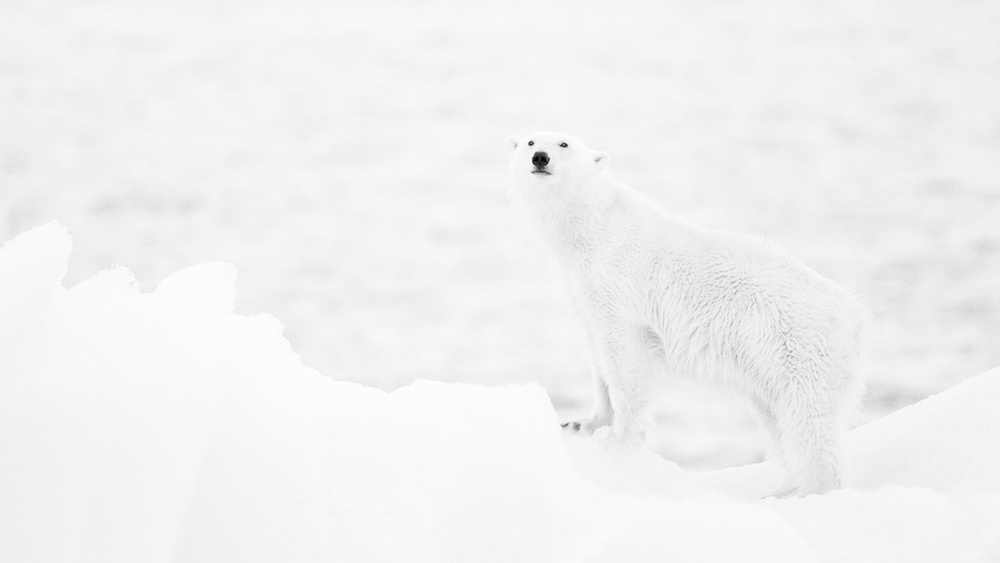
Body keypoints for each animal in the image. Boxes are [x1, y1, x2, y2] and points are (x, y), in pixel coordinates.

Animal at [505, 131, 869, 497]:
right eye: (530, 141)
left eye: (564, 144)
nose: (540, 157)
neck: (592, 226)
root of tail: (854, 315)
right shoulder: (582, 289)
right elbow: (598, 354)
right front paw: (582, 423)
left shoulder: (620, 281)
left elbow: (626, 357)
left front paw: (618, 439)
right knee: (777, 417)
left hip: (802, 349)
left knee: (807, 420)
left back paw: (809, 489)